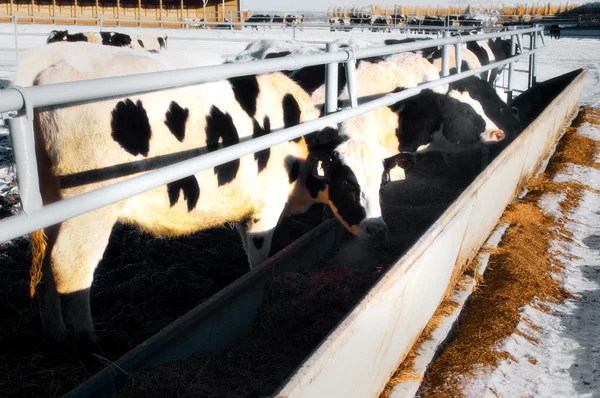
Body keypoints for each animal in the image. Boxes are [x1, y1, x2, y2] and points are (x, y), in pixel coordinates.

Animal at [14, 41, 394, 352]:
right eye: (347, 182)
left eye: (379, 182)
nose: (379, 229)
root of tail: (51, 60)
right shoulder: (265, 210)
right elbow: (260, 260)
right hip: (90, 208)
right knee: (70, 267)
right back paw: (88, 347)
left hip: (50, 202)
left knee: (45, 267)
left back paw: (56, 336)